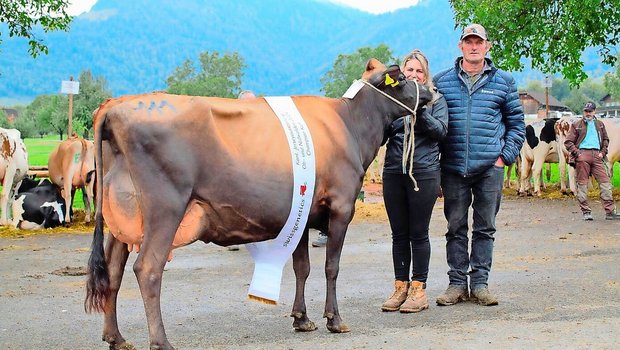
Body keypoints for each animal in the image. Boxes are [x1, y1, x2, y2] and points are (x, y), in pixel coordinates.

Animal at [83, 58, 432, 348]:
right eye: (403, 78)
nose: (430, 90)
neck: (350, 125)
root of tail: (115, 105)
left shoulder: (303, 211)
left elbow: (302, 267)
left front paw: (302, 319)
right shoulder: (342, 206)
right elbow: (331, 267)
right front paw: (334, 319)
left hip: (120, 218)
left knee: (112, 273)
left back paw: (116, 338)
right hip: (164, 208)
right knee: (148, 269)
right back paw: (161, 341)